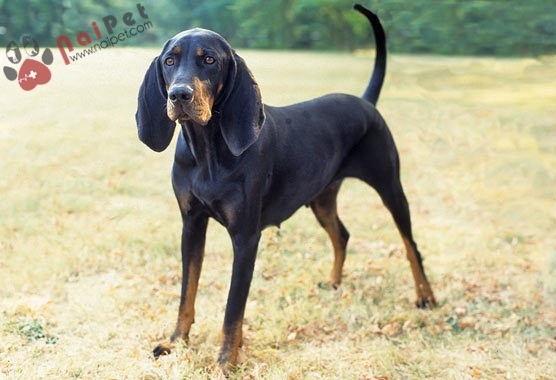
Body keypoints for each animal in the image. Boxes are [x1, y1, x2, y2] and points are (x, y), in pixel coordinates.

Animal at [135, 2, 434, 372]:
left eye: (210, 60)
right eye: (169, 61)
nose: (179, 94)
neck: (207, 152)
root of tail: (365, 102)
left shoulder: (246, 238)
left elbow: (233, 309)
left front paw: (225, 361)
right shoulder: (191, 225)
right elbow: (186, 293)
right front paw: (176, 342)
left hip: (390, 187)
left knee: (410, 245)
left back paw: (425, 296)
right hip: (322, 198)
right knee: (342, 235)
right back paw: (334, 282)